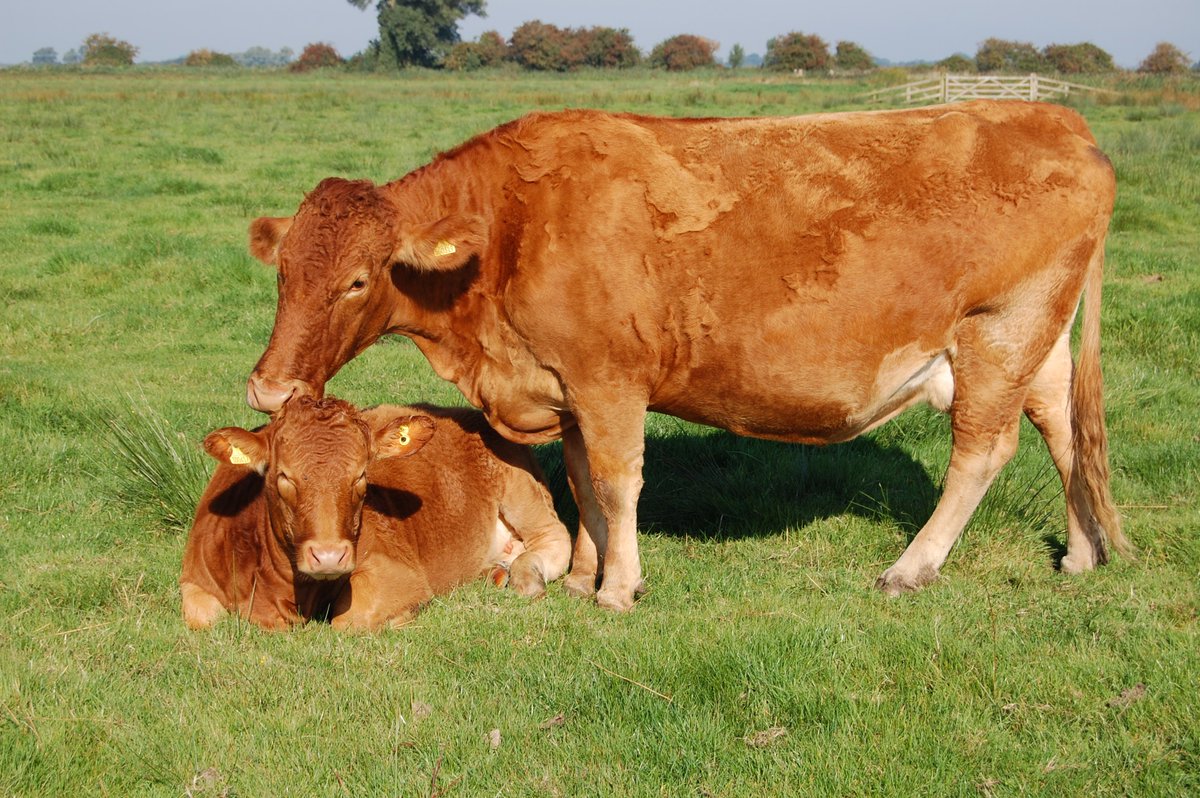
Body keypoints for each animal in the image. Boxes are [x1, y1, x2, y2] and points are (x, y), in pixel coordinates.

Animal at [180, 397, 571, 630]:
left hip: (521, 491)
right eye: (283, 476)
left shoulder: (394, 573)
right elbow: (202, 617)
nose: (329, 556)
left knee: (555, 538)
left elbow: (350, 620)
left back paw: (525, 575)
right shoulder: (193, 579)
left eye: (361, 475)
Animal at [243, 100, 1130, 612]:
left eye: (358, 280)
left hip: (999, 333)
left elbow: (615, 481)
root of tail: (1054, 116)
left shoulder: (609, 381)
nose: (270, 387)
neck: (512, 227)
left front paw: (617, 588)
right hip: (1037, 343)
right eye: (283, 272)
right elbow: (580, 483)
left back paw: (912, 567)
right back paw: (1082, 553)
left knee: (985, 449)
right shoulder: (567, 388)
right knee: (1062, 429)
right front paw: (582, 574)